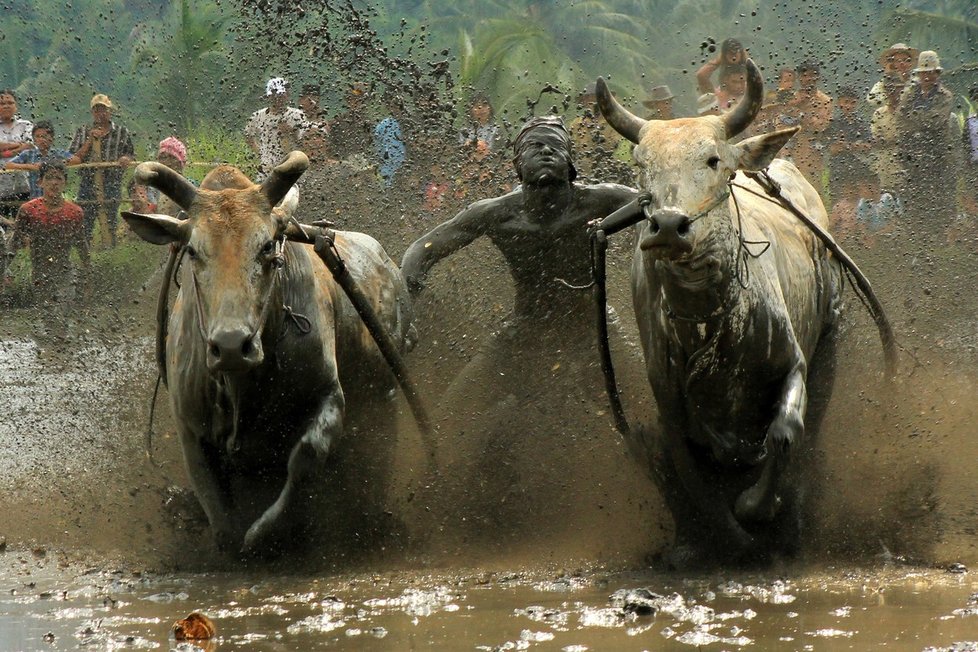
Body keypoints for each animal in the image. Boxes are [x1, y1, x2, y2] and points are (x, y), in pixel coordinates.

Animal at [121, 153, 412, 556]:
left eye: (268, 246)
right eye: (193, 250)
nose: (231, 345)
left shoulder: (329, 397)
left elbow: (306, 456)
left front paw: (266, 532)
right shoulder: (190, 428)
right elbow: (221, 520)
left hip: (384, 399)